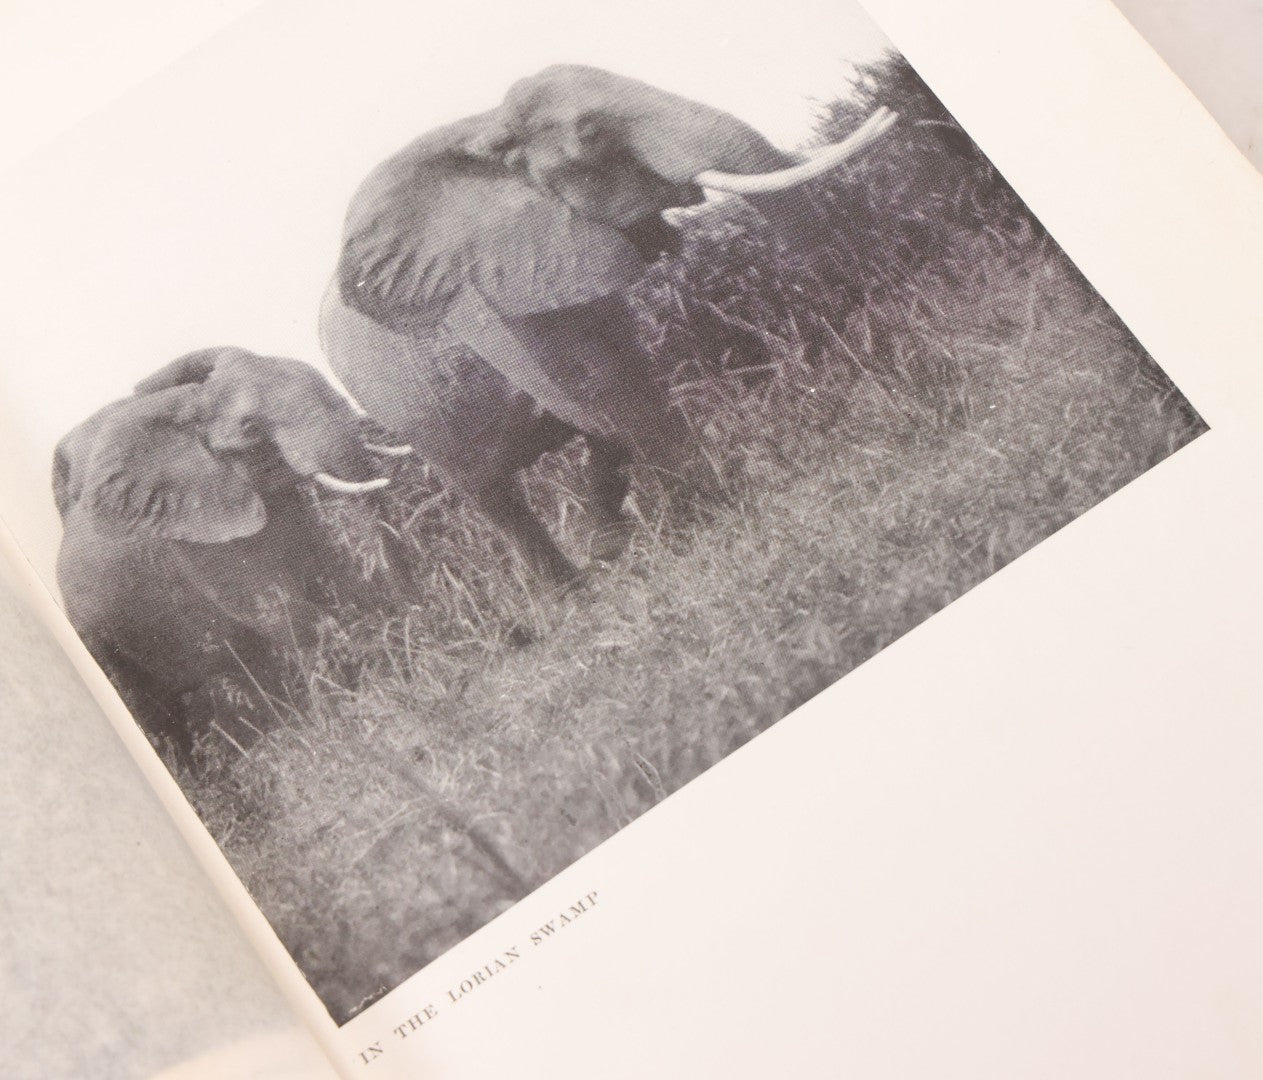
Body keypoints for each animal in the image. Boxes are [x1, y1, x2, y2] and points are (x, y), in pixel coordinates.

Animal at [53, 346, 401, 759]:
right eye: (250, 428)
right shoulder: (194, 547)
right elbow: (277, 611)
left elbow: (331, 574)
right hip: (92, 634)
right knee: (154, 716)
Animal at [320, 64, 896, 586]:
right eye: (592, 134)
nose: (866, 361)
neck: (489, 132)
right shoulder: (481, 296)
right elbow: (596, 392)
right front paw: (718, 502)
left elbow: (614, 388)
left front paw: (621, 543)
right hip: (411, 422)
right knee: (494, 497)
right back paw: (570, 595)